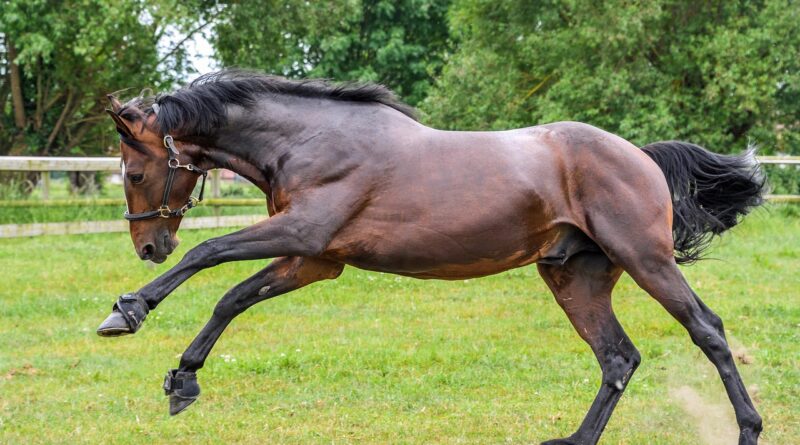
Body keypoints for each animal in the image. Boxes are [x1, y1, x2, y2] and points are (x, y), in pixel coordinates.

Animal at [99, 71, 765, 444]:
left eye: (134, 172)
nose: (149, 247)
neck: (307, 141)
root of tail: (640, 157)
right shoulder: (313, 259)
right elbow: (232, 297)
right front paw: (183, 380)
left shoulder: (302, 234)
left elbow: (209, 253)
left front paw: (127, 311)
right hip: (574, 277)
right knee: (618, 357)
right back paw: (574, 440)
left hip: (648, 260)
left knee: (706, 330)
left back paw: (749, 430)